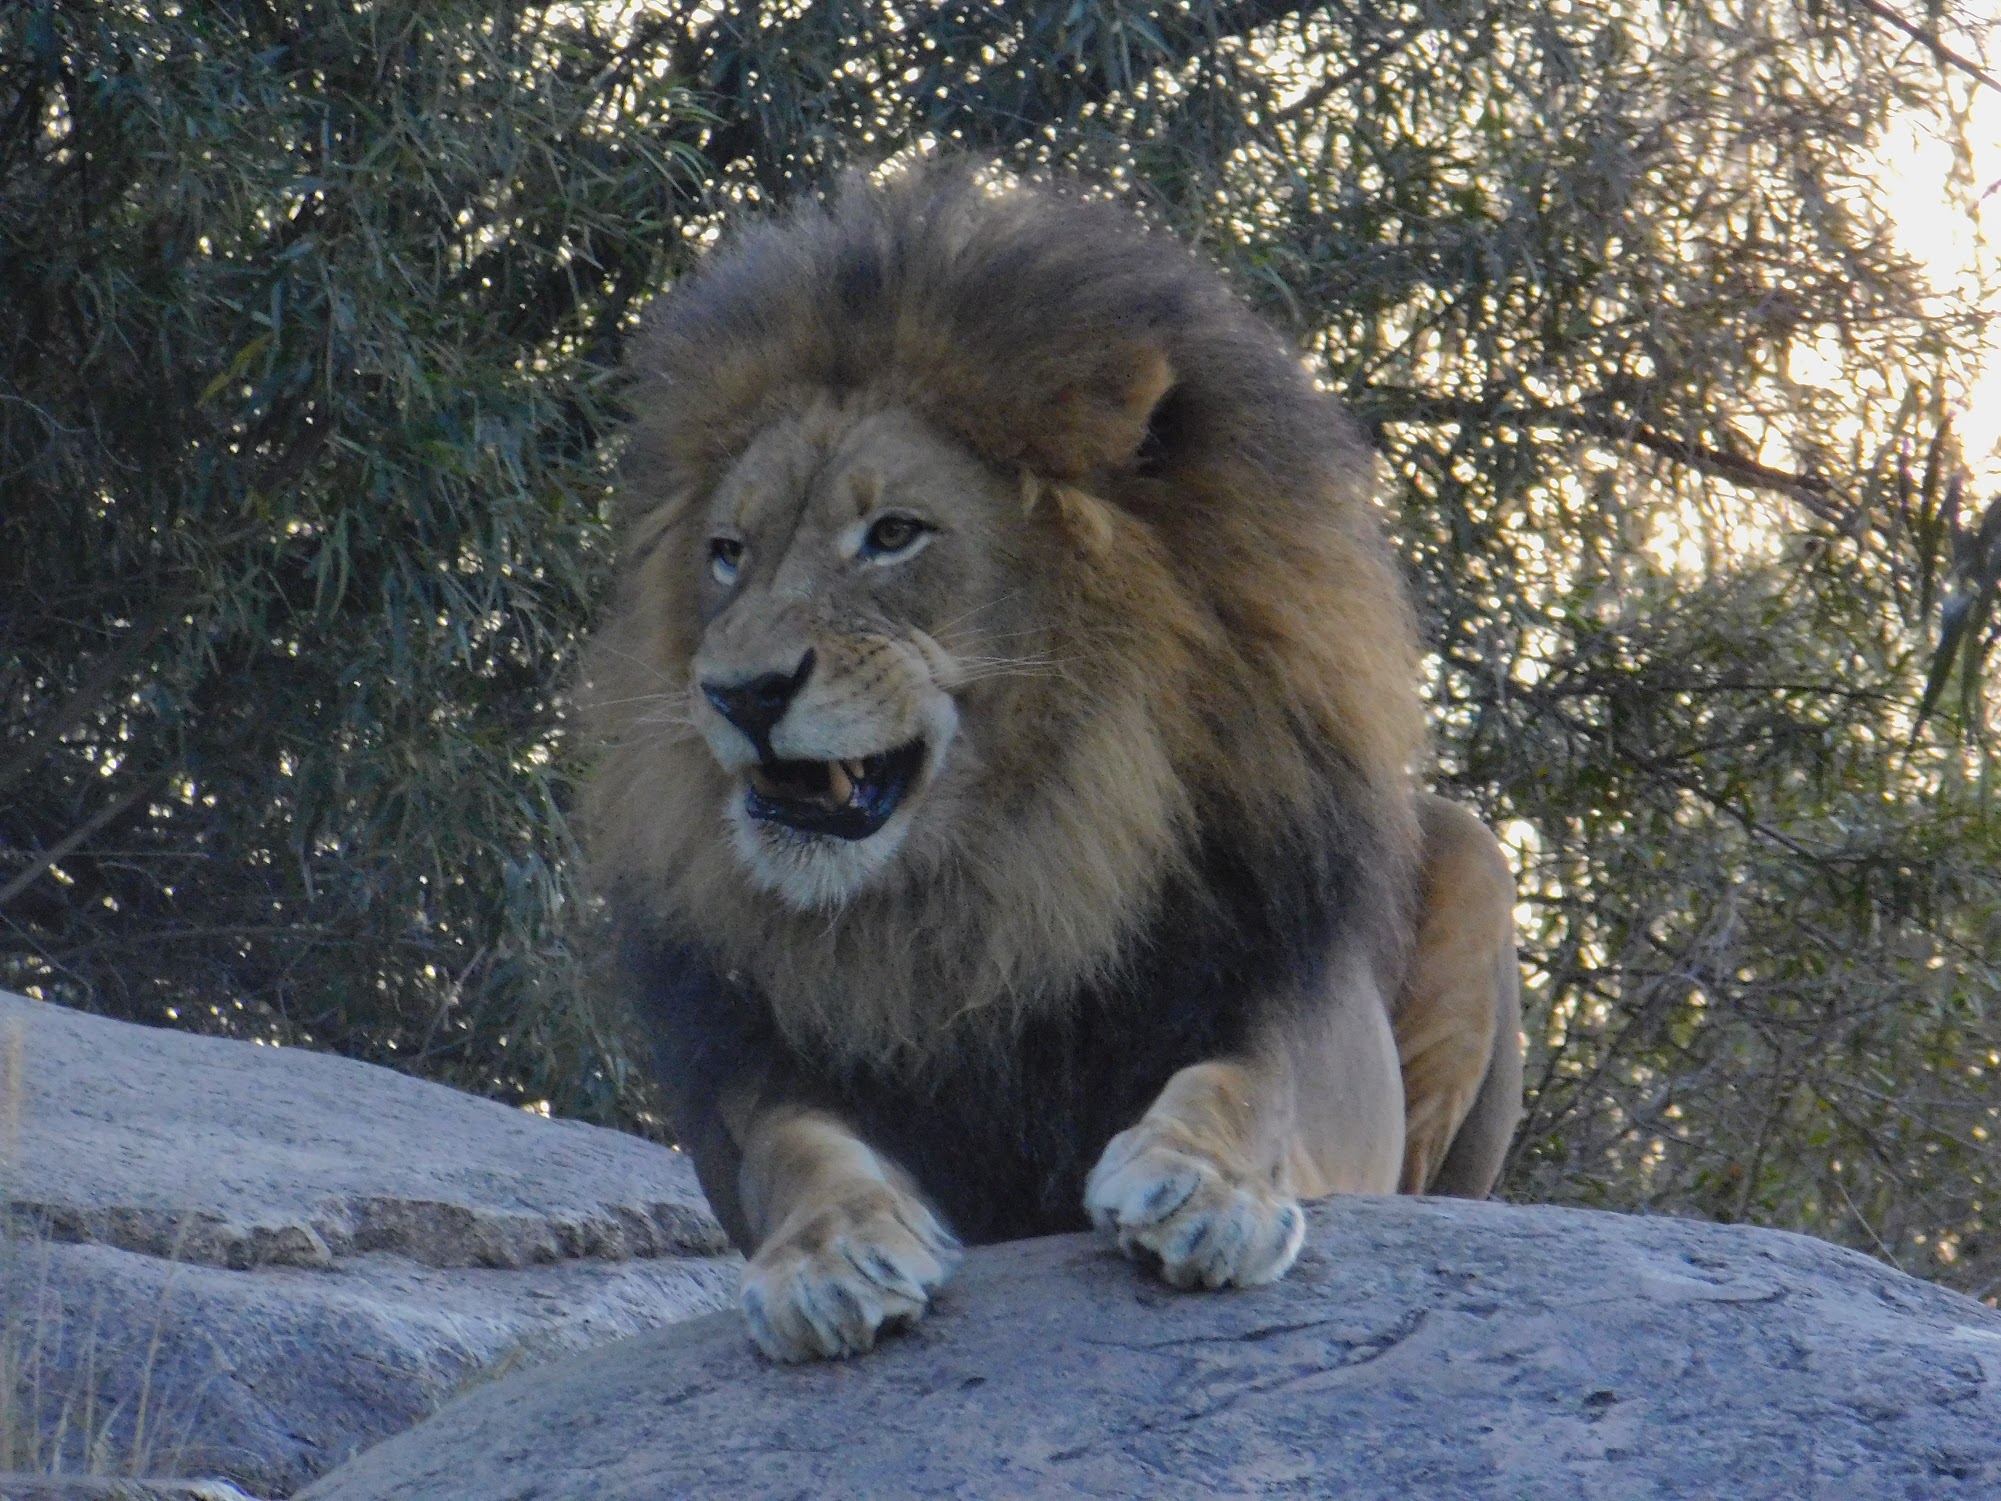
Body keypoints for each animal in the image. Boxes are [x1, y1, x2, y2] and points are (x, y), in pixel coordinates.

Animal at [584, 162, 1522, 1363]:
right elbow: (796, 1147)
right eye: (726, 555)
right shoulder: (757, 1066)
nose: (739, 694)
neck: (1006, 871)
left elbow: (1245, 1083)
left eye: (895, 534)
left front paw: (1200, 1190)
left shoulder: (1283, 998)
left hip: (1476, 857)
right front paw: (831, 1259)